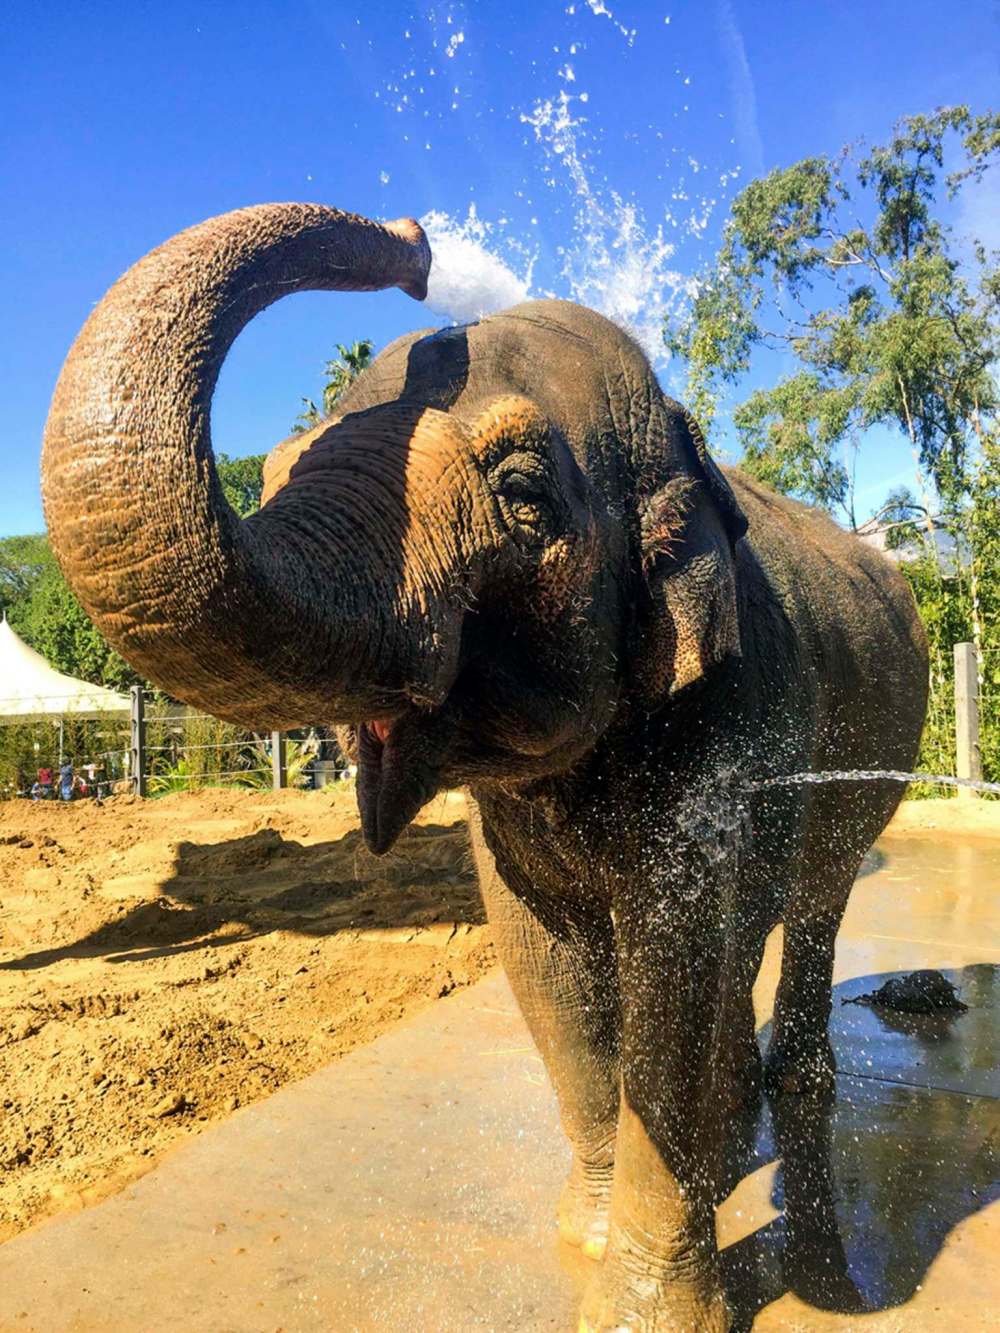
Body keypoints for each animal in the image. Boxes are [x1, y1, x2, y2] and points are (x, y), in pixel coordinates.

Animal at [42, 203, 928, 1331]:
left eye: (520, 493)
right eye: (275, 473)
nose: (418, 244)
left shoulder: (731, 713)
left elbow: (672, 959)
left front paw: (644, 1310)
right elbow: (546, 962)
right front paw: (583, 1238)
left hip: (869, 770)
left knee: (815, 902)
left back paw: (794, 1098)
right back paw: (734, 1138)